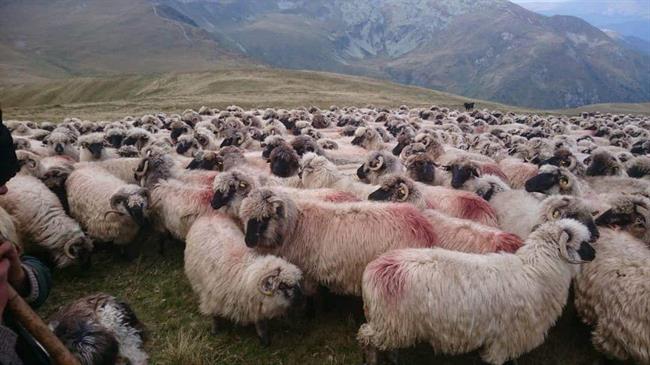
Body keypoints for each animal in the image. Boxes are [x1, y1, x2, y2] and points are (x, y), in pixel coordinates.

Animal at [184, 210, 302, 344]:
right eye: (282, 286)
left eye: (297, 282)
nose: (302, 298)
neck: (245, 276)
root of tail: (209, 215)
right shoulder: (211, 299)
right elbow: (215, 317)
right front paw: (215, 331)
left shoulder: (255, 305)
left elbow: (260, 323)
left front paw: (264, 340)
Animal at [356, 218, 596, 362]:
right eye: (583, 243)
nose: (595, 254)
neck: (538, 270)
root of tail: (374, 269)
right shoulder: (504, 339)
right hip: (390, 323)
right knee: (366, 339)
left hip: (391, 324)